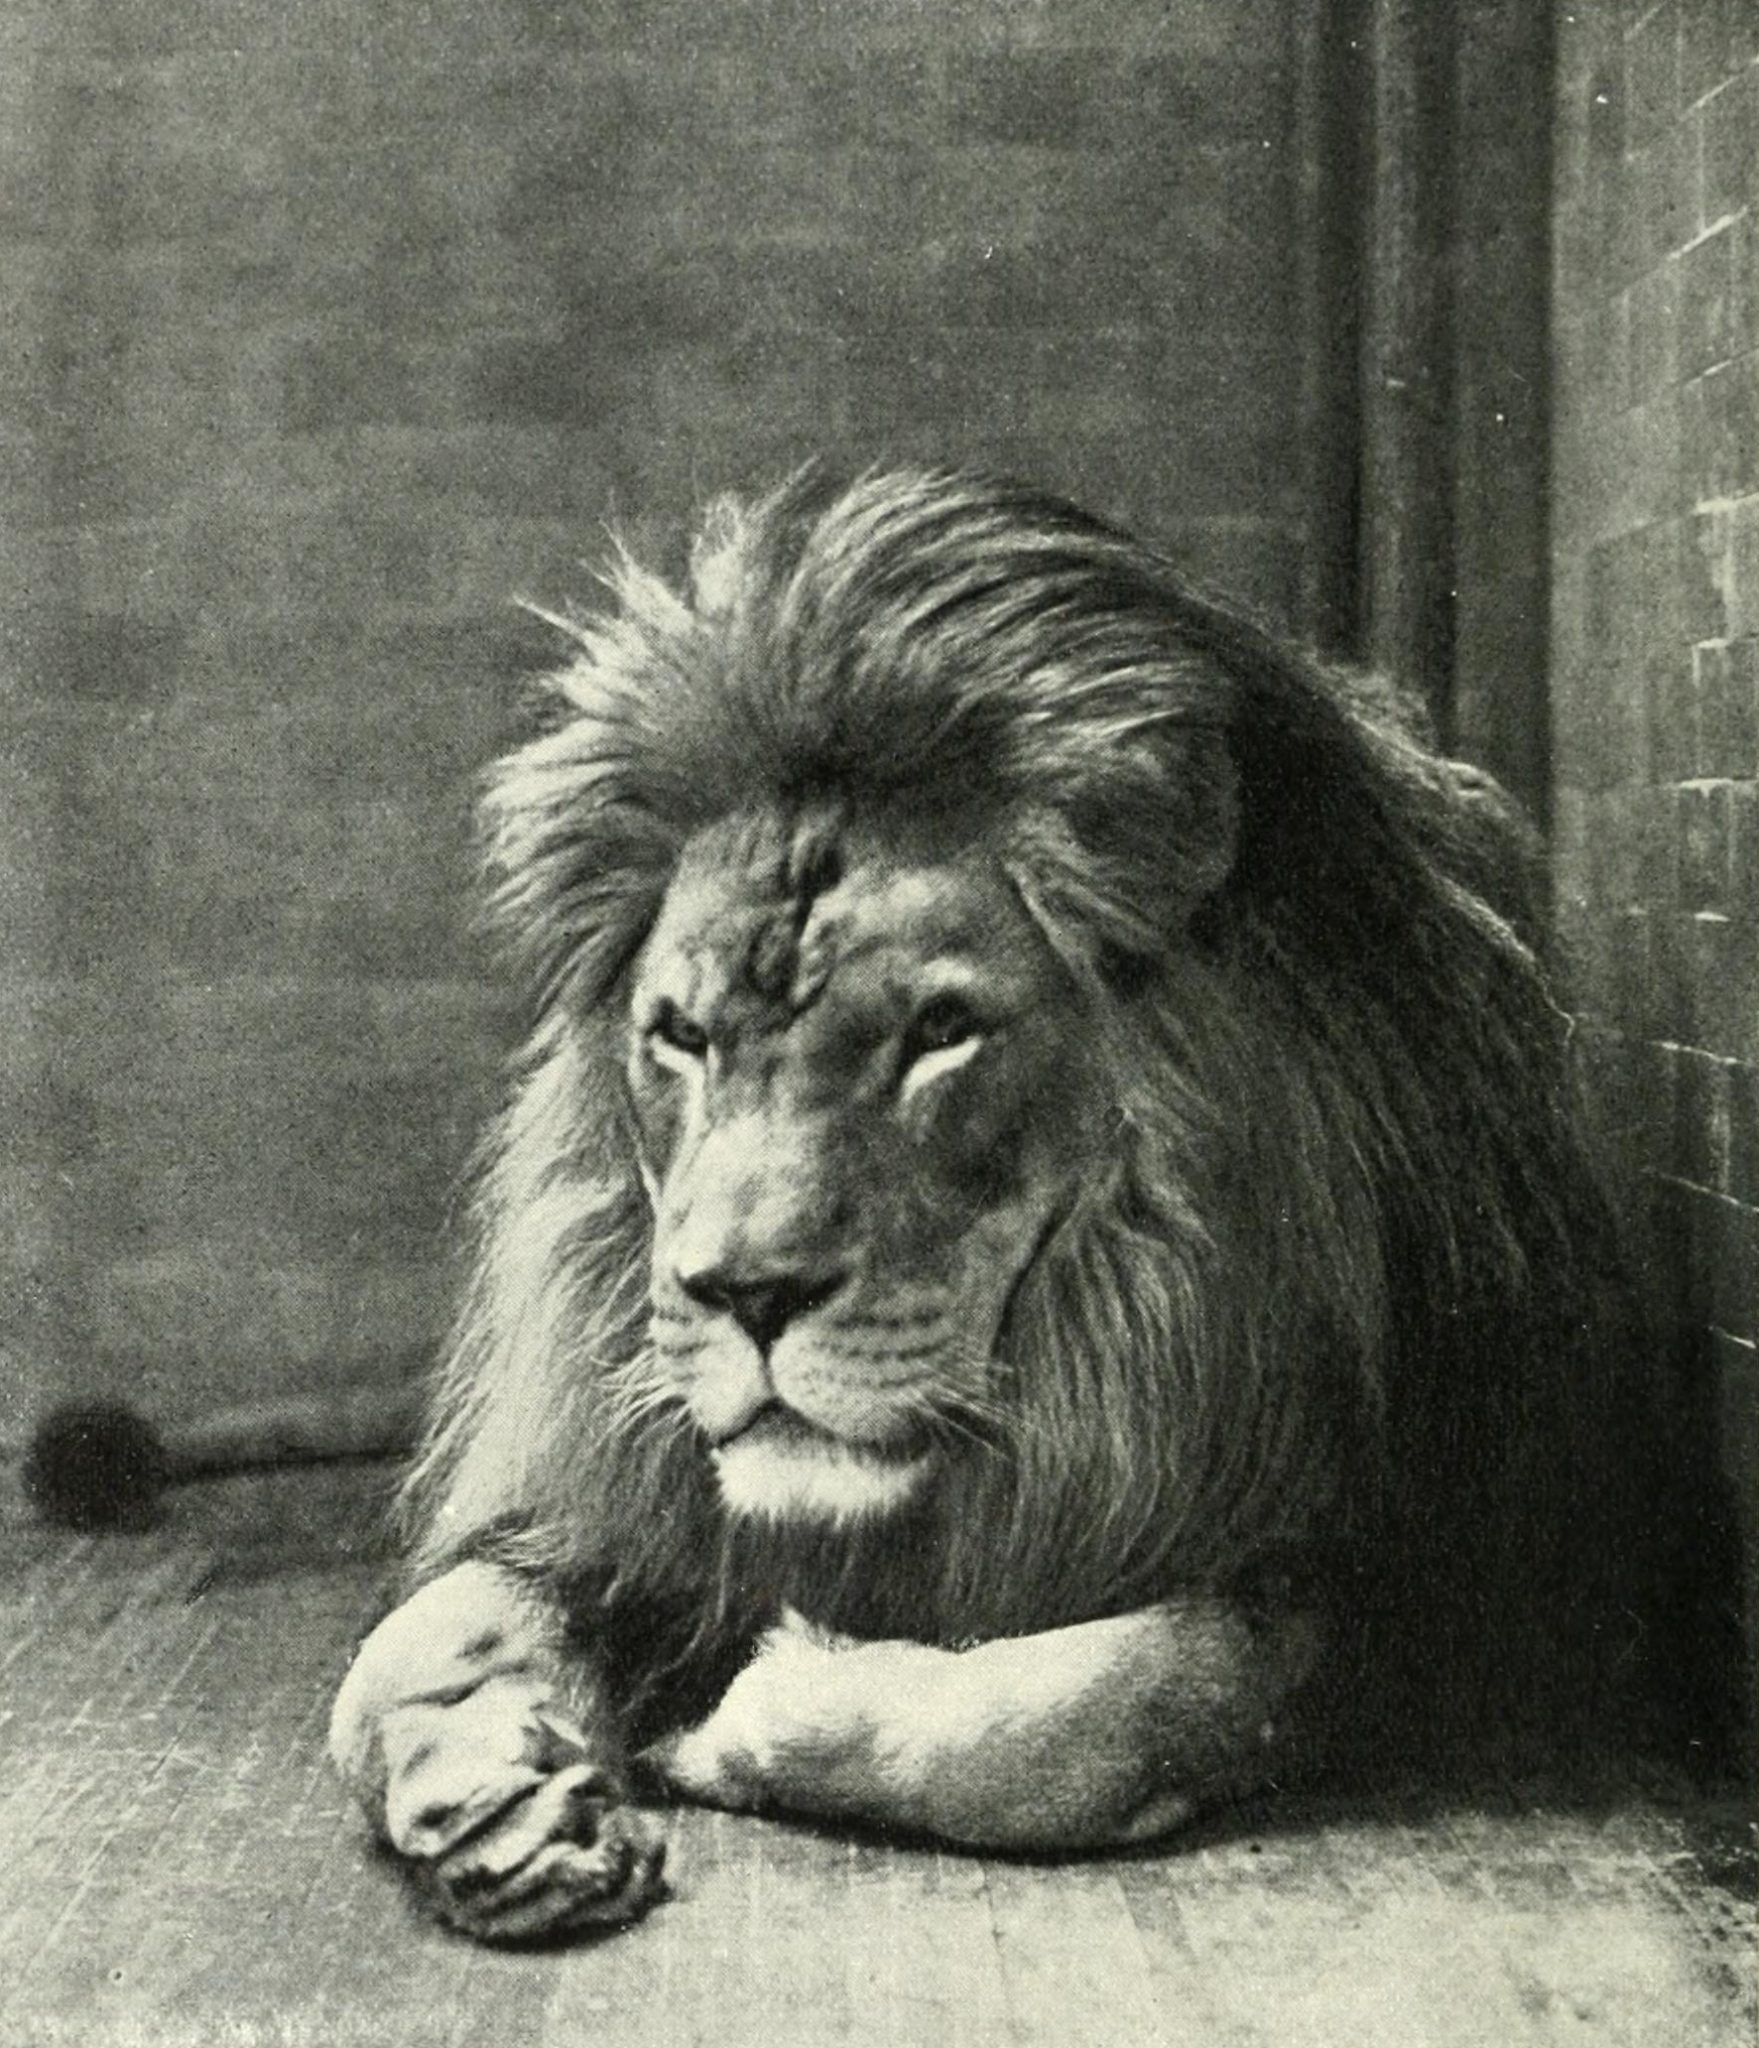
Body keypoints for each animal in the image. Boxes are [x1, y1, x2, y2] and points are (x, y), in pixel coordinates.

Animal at [329, 467, 1641, 1942]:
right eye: (678, 1037)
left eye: (940, 1034)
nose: (743, 1293)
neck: (1105, 1339)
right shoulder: (609, 1516)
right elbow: (402, 1650)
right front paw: (509, 1809)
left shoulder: (1405, 1580)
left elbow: (1081, 1708)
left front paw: (747, 1709)